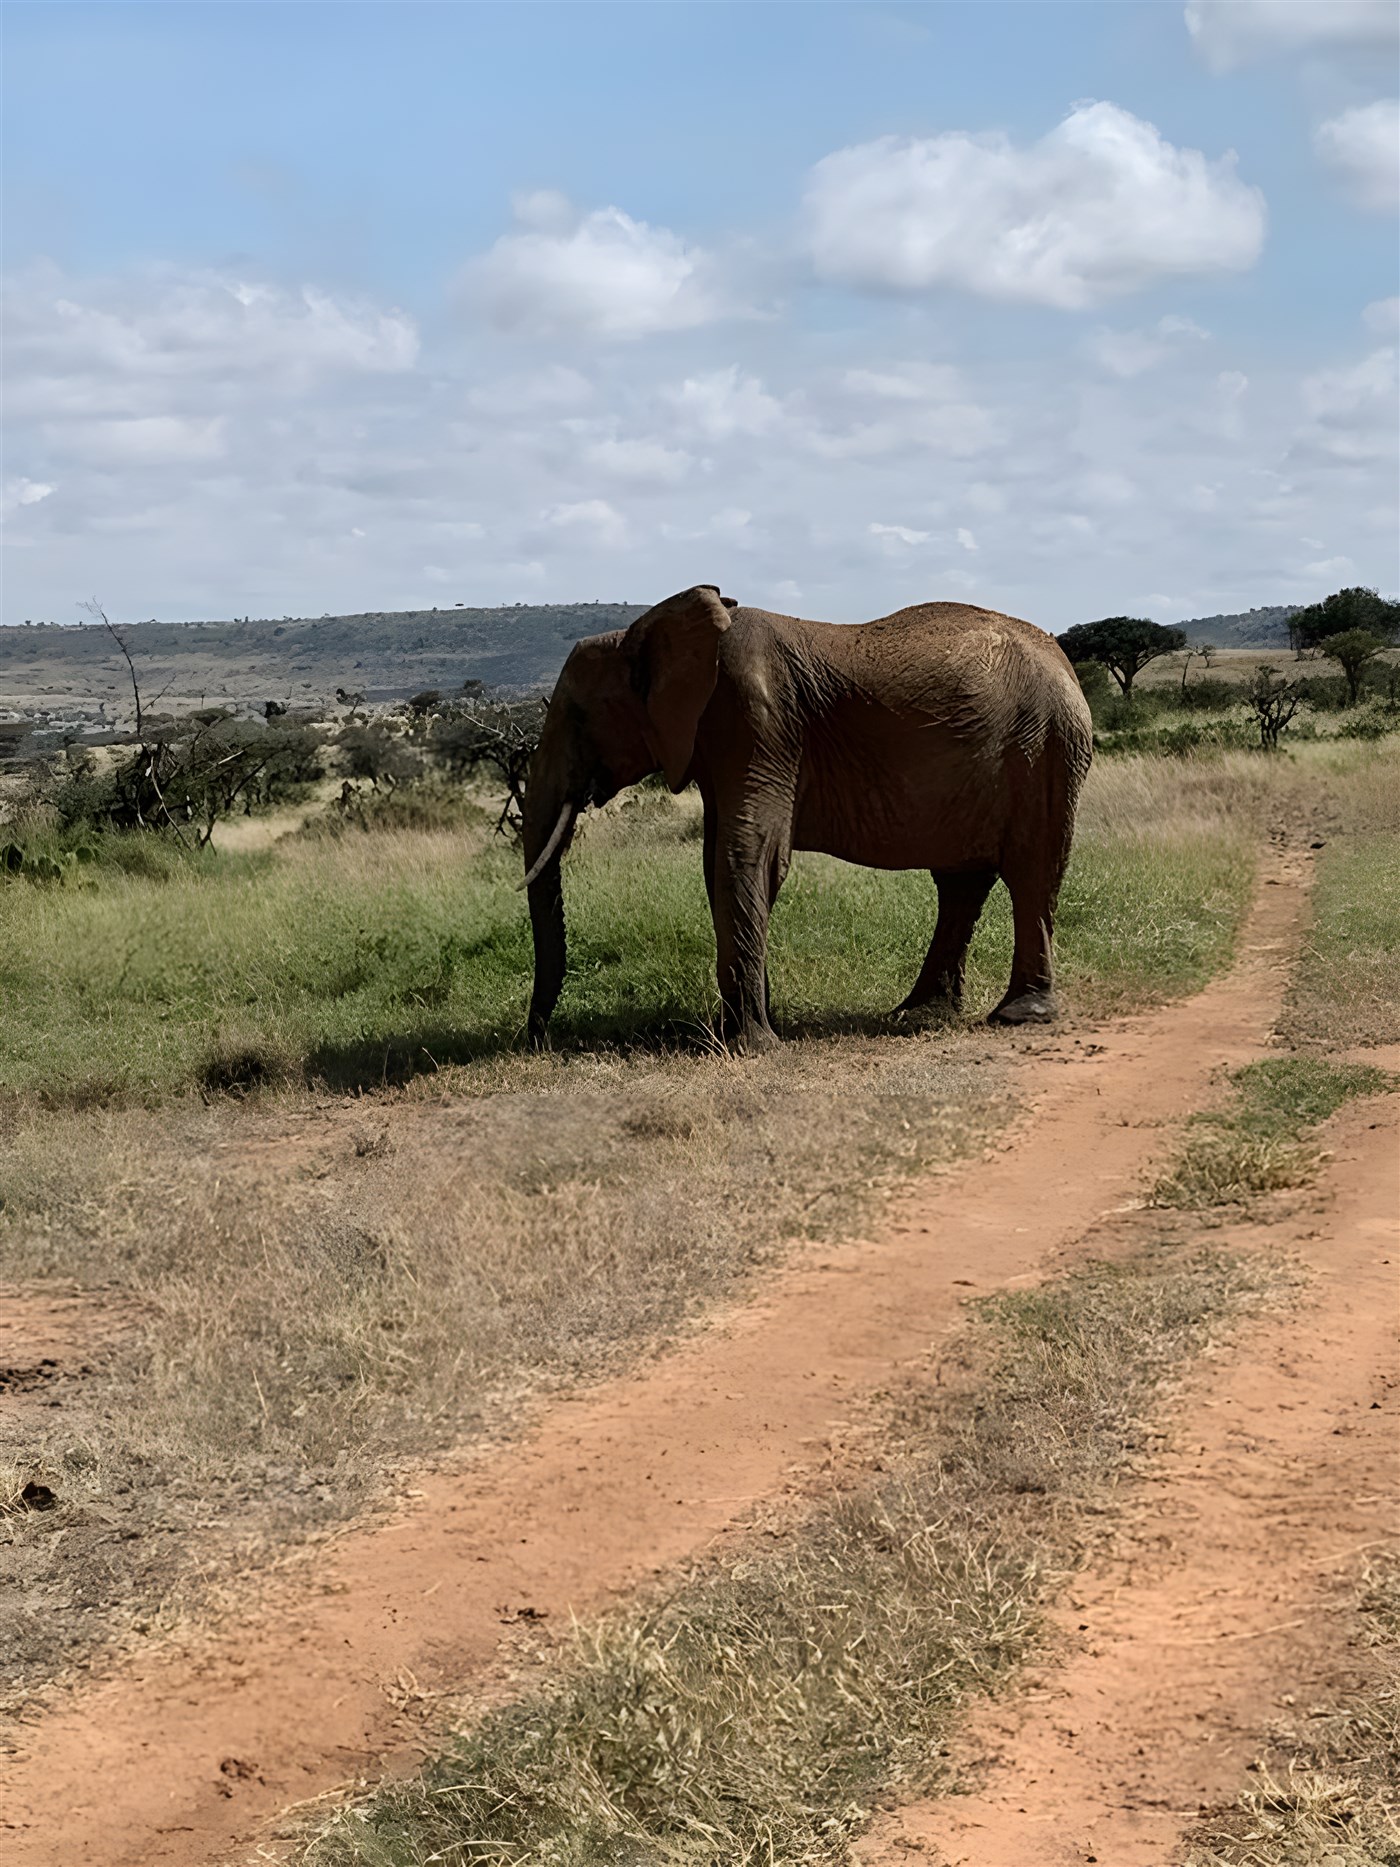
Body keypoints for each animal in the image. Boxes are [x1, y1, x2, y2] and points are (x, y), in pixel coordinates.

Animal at [521, 585, 1093, 1053]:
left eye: (577, 716)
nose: (537, 1038)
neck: (645, 629)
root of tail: (1065, 663)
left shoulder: (757, 720)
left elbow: (747, 854)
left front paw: (750, 1046)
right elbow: (717, 863)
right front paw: (744, 1028)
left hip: (1045, 749)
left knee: (1031, 874)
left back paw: (1018, 1016)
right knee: (961, 882)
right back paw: (916, 1015)